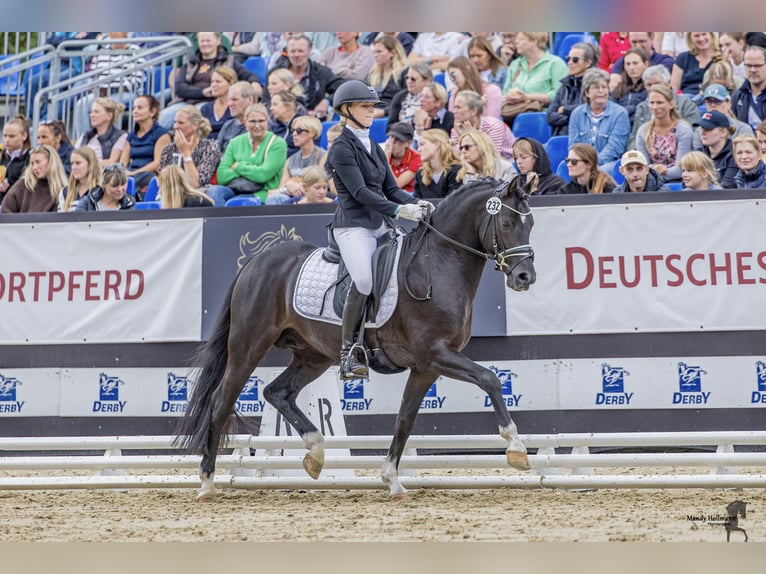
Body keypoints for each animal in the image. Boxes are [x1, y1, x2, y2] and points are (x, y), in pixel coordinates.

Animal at [174, 177, 536, 501]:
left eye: (530, 223)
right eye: (506, 222)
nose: (525, 277)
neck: (437, 264)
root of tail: (256, 262)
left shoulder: (426, 368)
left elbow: (405, 420)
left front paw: (392, 480)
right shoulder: (435, 353)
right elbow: (489, 379)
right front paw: (516, 448)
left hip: (313, 355)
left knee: (277, 392)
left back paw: (316, 453)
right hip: (248, 345)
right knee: (221, 402)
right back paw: (207, 483)